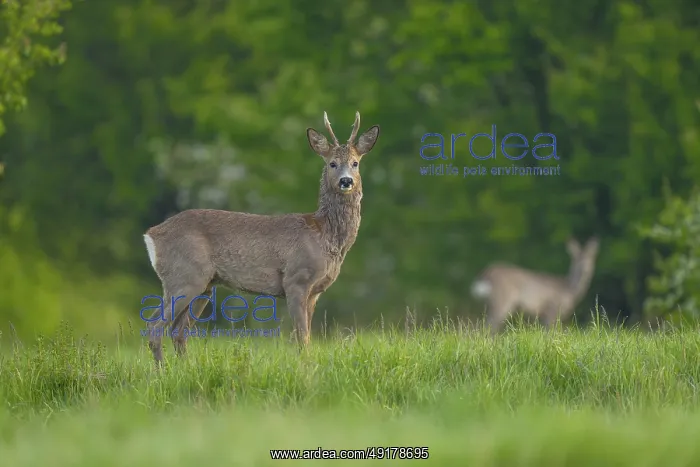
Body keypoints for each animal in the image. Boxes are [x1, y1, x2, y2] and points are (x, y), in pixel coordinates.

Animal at [142, 111, 380, 364]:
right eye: (332, 163)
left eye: (355, 163)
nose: (346, 181)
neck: (324, 234)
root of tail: (152, 234)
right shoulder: (296, 279)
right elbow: (302, 338)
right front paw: (305, 368)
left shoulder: (315, 292)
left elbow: (306, 337)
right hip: (184, 276)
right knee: (155, 326)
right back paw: (162, 370)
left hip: (204, 285)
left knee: (178, 331)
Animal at [470, 237, 600, 333]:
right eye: (576, 259)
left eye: (591, 259)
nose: (585, 269)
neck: (569, 289)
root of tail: (486, 273)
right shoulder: (551, 309)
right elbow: (549, 332)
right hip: (502, 299)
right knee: (489, 325)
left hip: (489, 302)